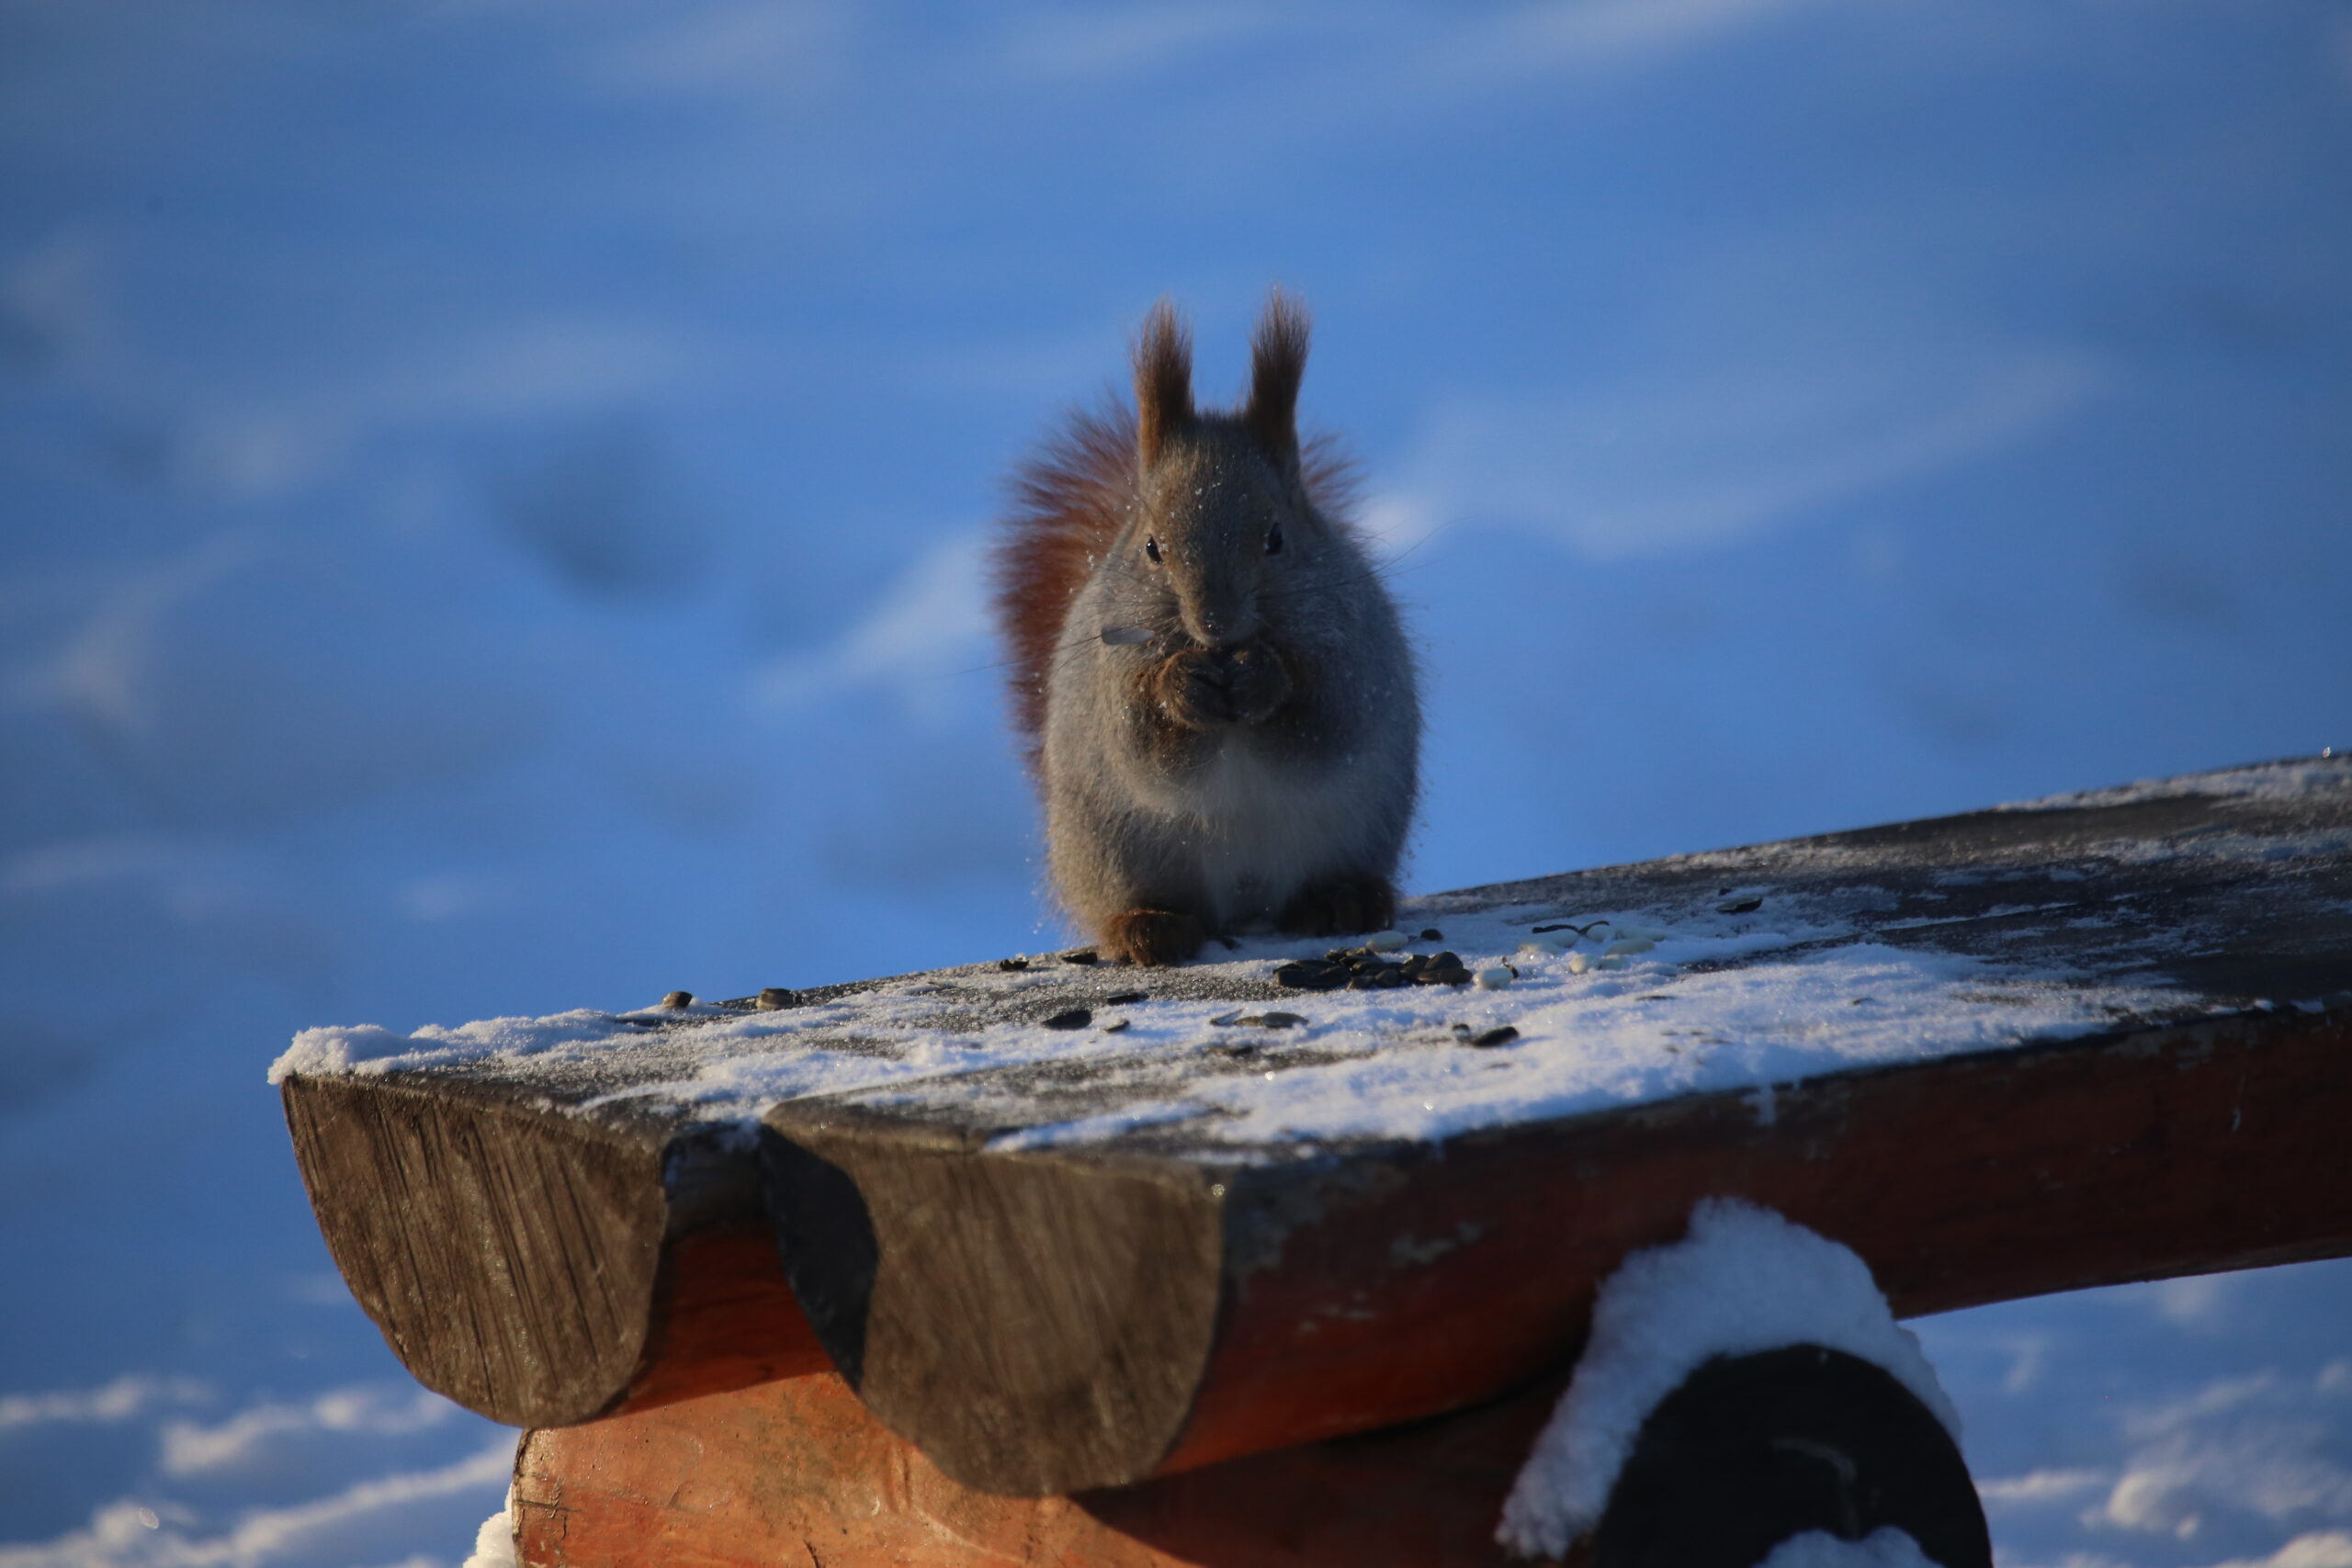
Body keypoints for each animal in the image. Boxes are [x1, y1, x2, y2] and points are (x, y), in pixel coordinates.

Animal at [988, 288, 1411, 964]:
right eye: (1152, 547)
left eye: (1276, 537)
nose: (1216, 623)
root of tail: (1246, 902)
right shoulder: (1112, 674)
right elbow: (1143, 744)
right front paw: (1180, 685)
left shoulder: (1352, 652)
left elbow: (1325, 723)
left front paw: (1265, 678)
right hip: (1112, 850)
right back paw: (1147, 924)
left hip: (1359, 829)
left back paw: (1341, 898)